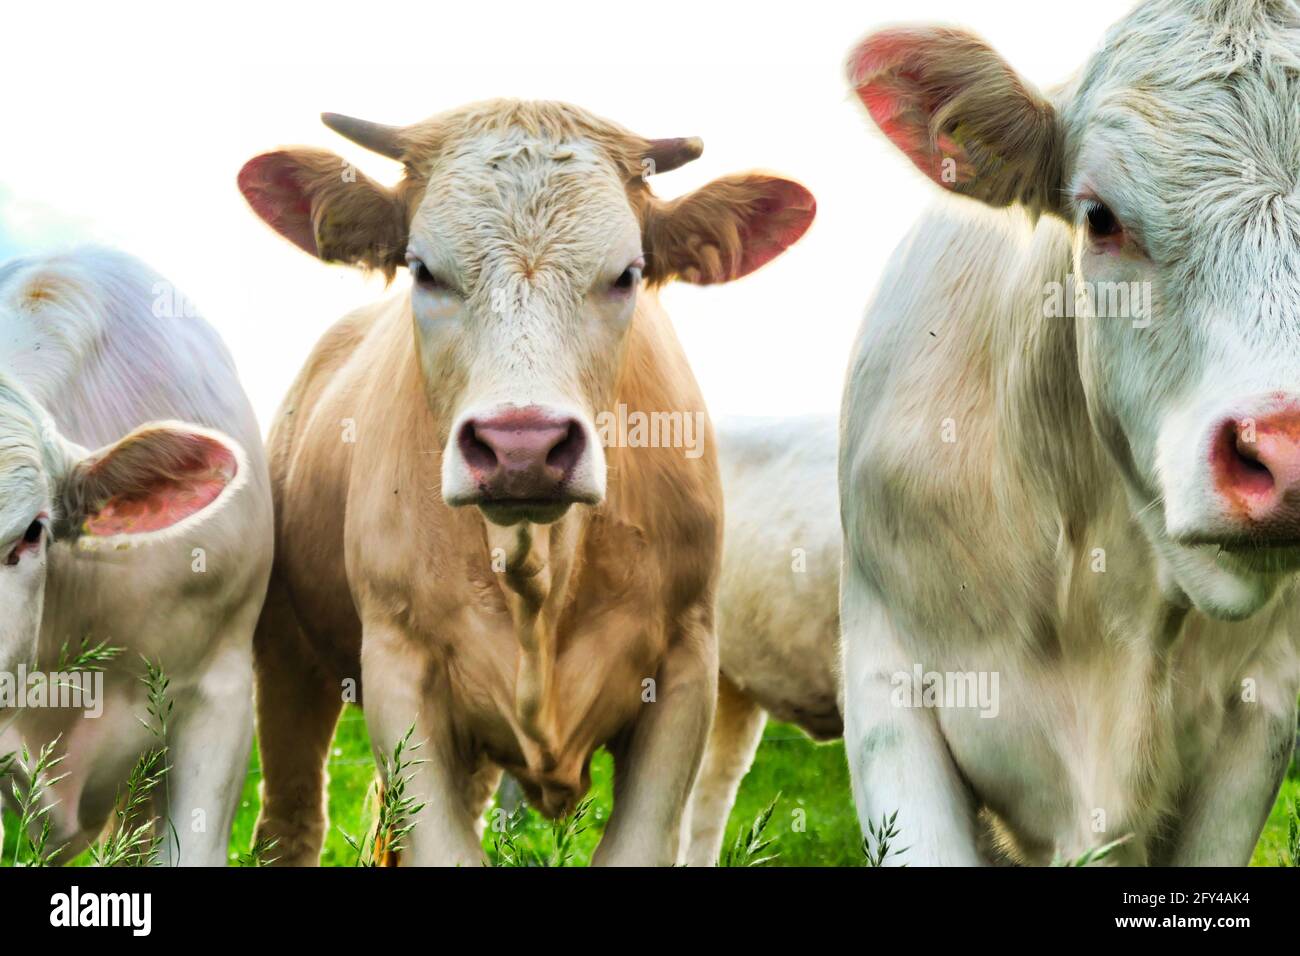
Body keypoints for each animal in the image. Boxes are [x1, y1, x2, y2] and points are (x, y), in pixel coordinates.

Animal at [236, 98, 811, 868]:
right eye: (422, 269)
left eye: (627, 273)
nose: (522, 447)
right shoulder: (398, 669)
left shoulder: (687, 669)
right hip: (288, 656)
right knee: (292, 820)